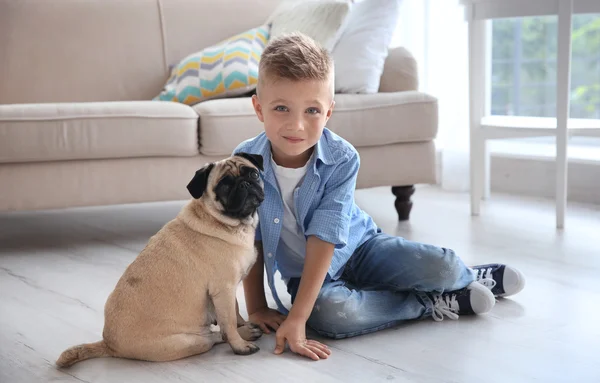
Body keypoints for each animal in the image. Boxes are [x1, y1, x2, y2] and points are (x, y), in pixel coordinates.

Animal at [55, 153, 264, 368]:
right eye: (225, 185)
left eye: (254, 174)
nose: (245, 183)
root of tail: (108, 345)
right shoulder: (224, 288)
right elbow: (229, 322)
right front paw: (240, 345)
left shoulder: (228, 290)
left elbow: (235, 312)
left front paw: (242, 326)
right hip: (190, 341)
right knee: (214, 337)